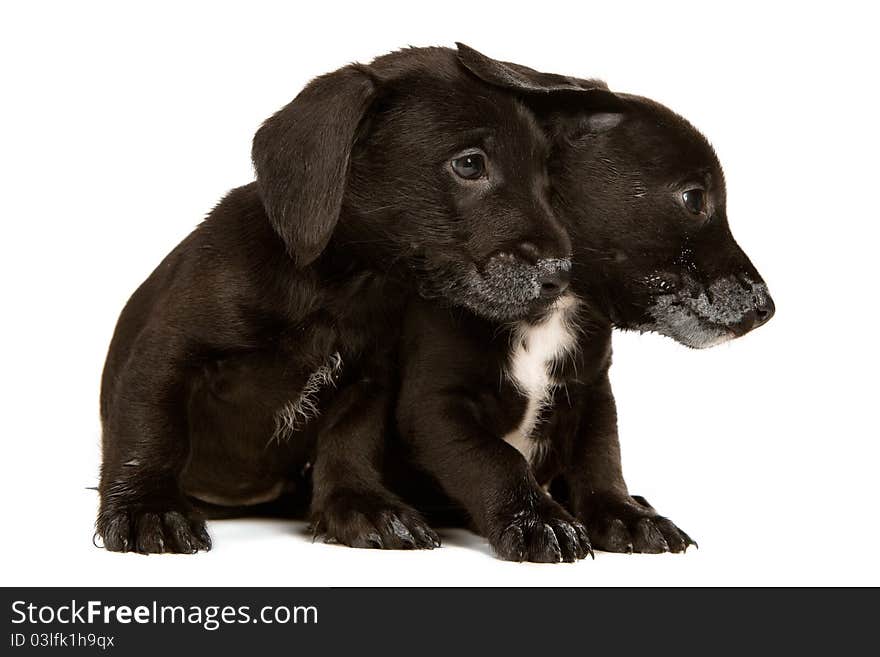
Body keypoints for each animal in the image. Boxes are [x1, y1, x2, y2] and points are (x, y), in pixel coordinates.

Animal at [98, 44, 576, 552]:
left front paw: (360, 507)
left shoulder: (368, 379)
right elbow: (150, 432)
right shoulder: (168, 353)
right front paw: (147, 508)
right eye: (469, 164)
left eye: (546, 174)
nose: (560, 276)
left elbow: (349, 443)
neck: (337, 288)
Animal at [384, 44, 776, 560]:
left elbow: (601, 459)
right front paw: (539, 520)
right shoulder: (436, 404)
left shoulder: (593, 391)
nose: (768, 309)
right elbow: (495, 458)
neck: (555, 305)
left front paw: (625, 515)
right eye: (695, 199)